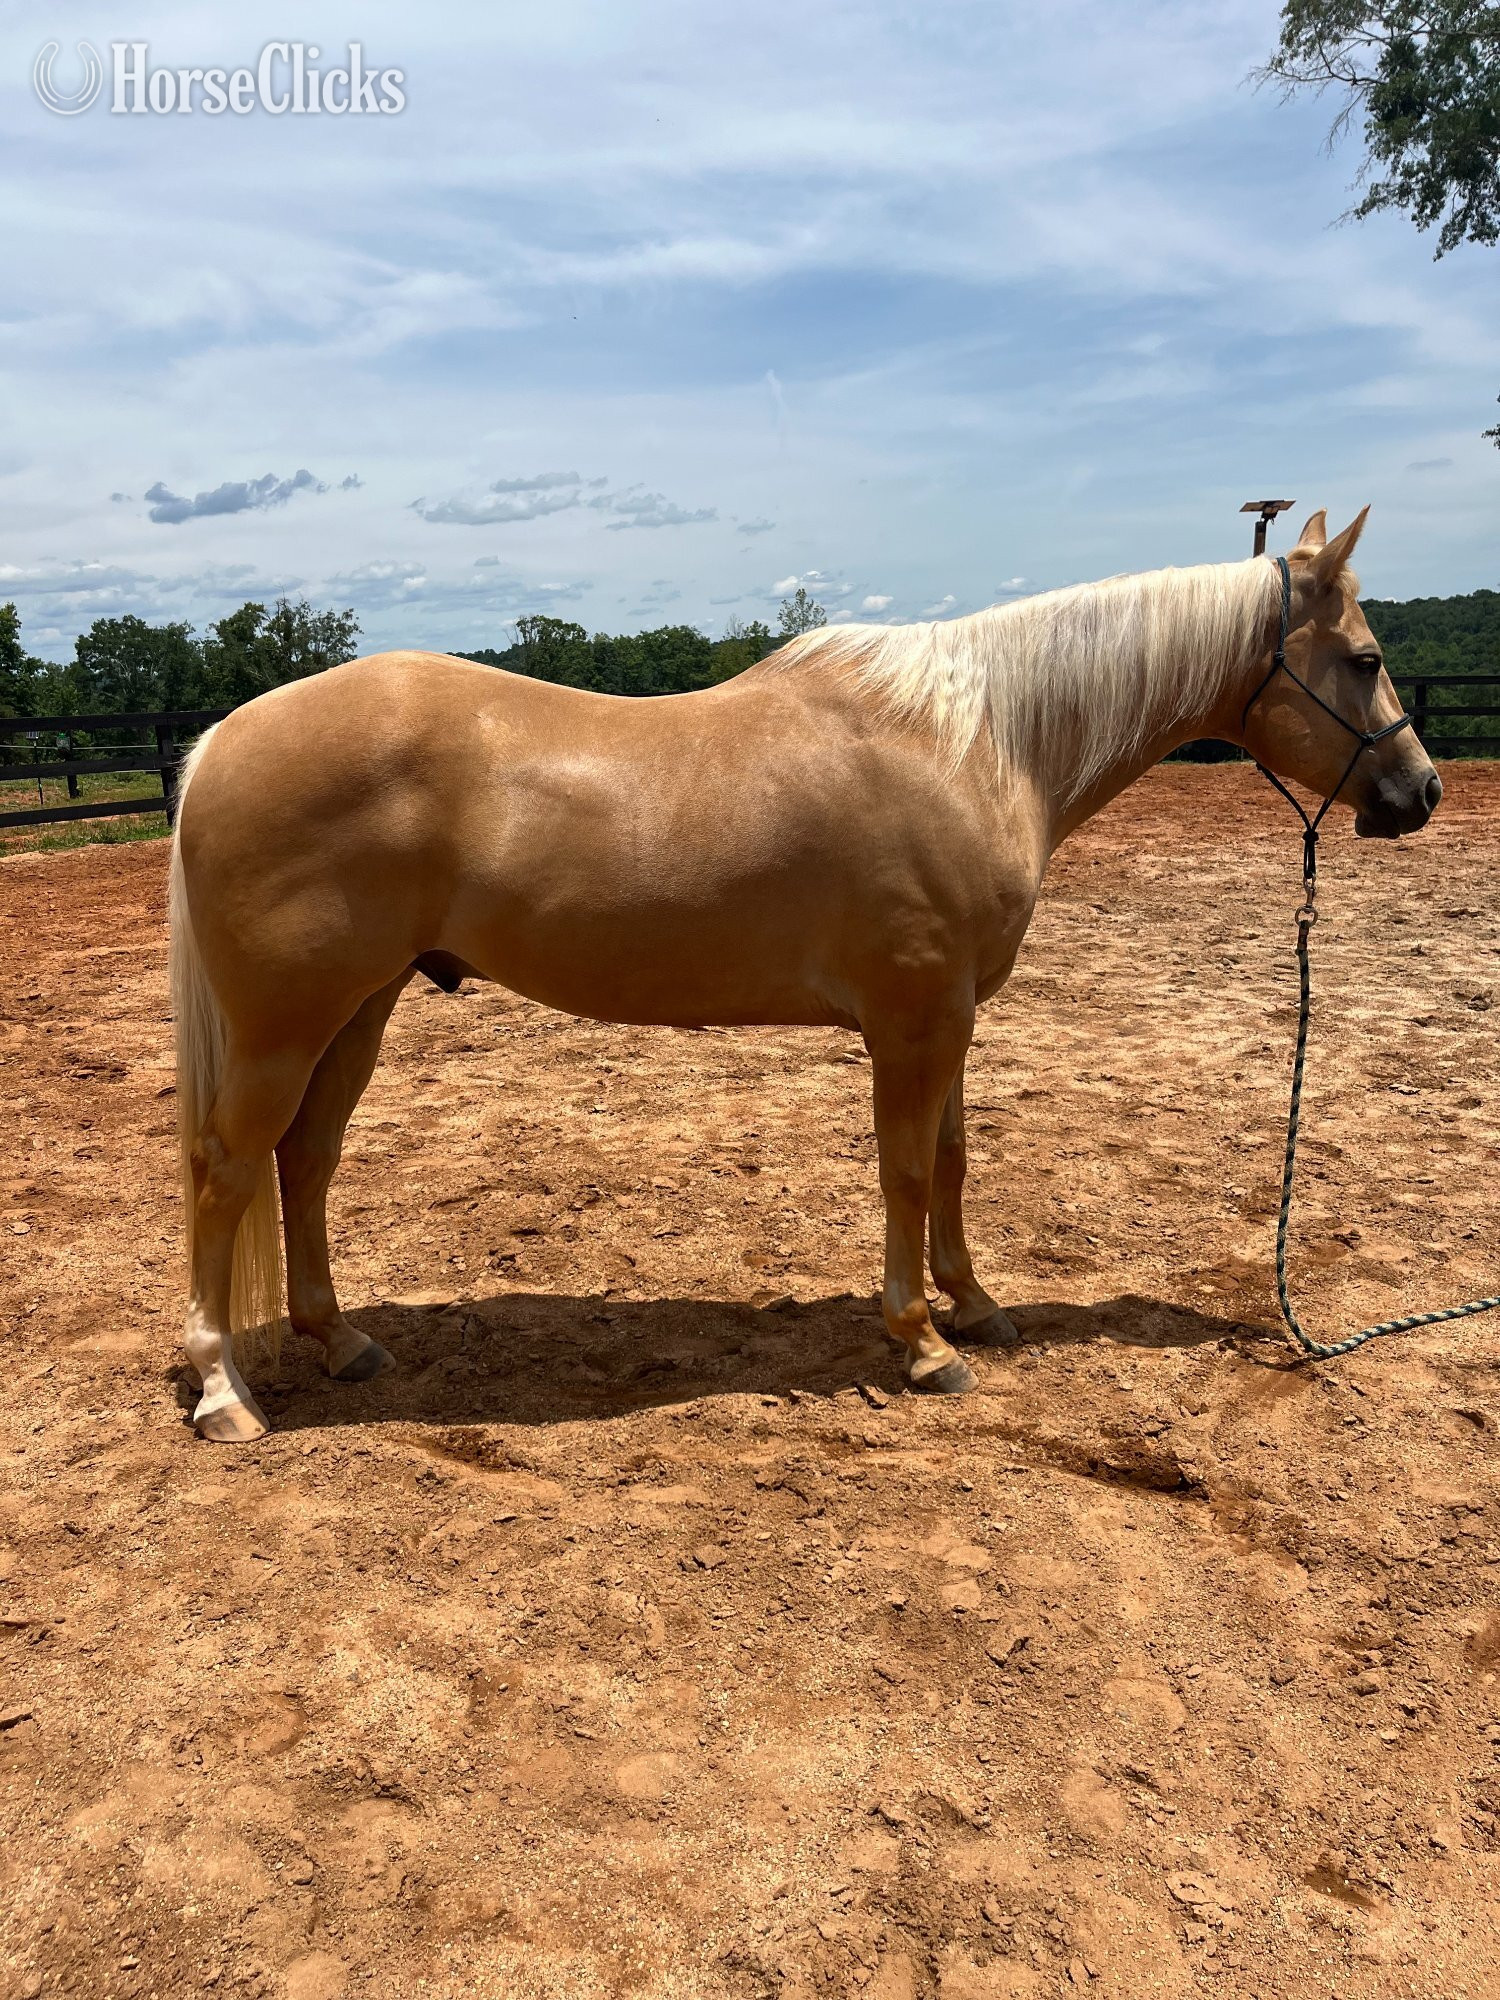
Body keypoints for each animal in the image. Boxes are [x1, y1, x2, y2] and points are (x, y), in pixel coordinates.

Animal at [169, 506, 1439, 1441]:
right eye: (1366, 658)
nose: (1419, 792)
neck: (975, 743)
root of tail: (222, 738)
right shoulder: (914, 1018)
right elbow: (907, 1173)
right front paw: (921, 1343)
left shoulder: (950, 1017)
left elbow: (954, 1162)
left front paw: (976, 1306)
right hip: (286, 1024)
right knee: (229, 1169)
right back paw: (225, 1390)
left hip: (359, 1009)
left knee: (305, 1162)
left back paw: (340, 1341)